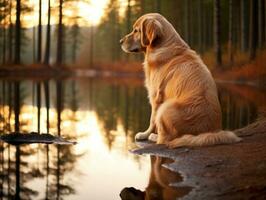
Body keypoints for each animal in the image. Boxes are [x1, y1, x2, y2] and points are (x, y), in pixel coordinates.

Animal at [119, 12, 242, 147]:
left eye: (136, 30)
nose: (120, 41)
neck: (163, 46)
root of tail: (208, 133)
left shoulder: (155, 96)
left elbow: (152, 120)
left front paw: (145, 134)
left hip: (165, 108)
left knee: (165, 139)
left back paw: (154, 136)